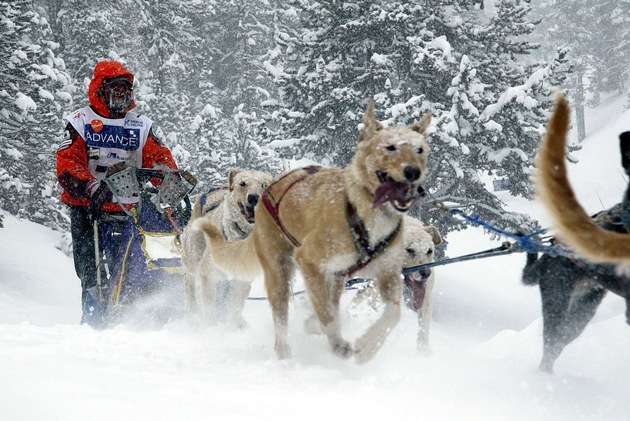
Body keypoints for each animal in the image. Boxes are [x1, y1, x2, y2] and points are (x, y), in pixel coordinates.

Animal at [198, 100, 434, 362]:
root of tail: (270, 188)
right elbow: (326, 313)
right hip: (280, 272)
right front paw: (336, 341)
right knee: (282, 321)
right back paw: (286, 357)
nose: (413, 172)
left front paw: (367, 346)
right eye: (390, 147)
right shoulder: (309, 261)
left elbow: (392, 313)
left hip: (334, 276)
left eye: (420, 149)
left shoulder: (387, 274)